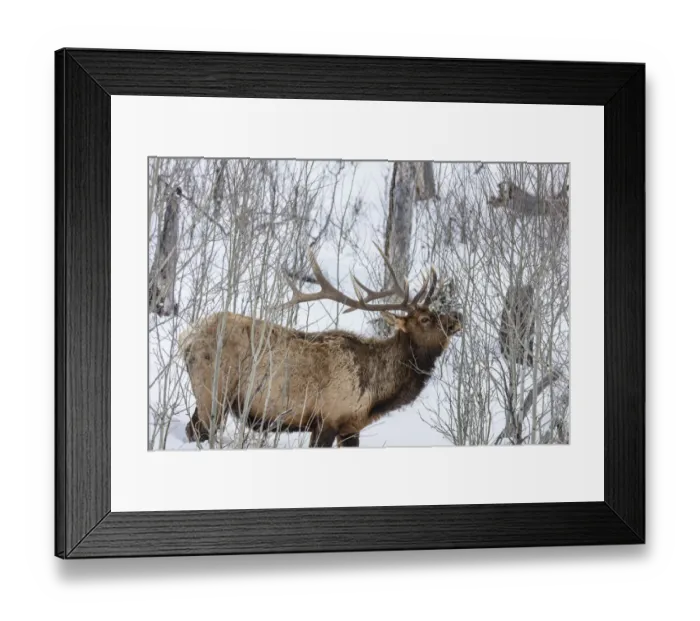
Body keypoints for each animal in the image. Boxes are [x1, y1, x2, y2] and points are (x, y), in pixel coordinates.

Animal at [178, 246, 463, 448]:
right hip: (212, 391)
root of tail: (188, 338)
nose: (458, 316)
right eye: (425, 319)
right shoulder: (327, 418)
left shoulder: (350, 427)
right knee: (197, 432)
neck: (375, 393)